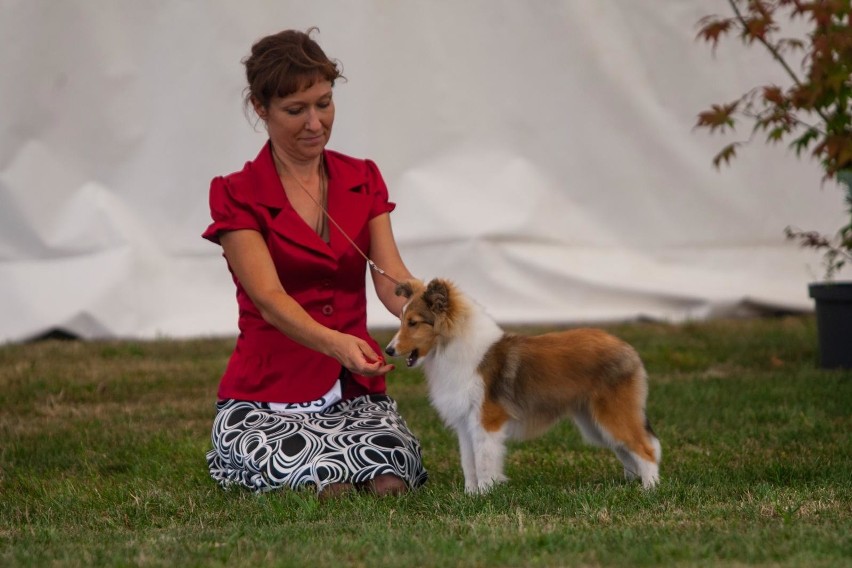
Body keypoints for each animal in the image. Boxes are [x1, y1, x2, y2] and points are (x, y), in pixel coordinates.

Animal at [382, 280, 664, 492]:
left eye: (413, 322)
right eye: (402, 319)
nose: (389, 350)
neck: (452, 347)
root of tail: (627, 348)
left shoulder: (486, 420)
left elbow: (484, 460)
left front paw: (485, 493)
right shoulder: (465, 423)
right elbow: (468, 462)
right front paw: (470, 494)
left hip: (612, 413)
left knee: (646, 448)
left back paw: (649, 488)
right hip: (594, 422)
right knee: (627, 450)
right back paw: (631, 482)